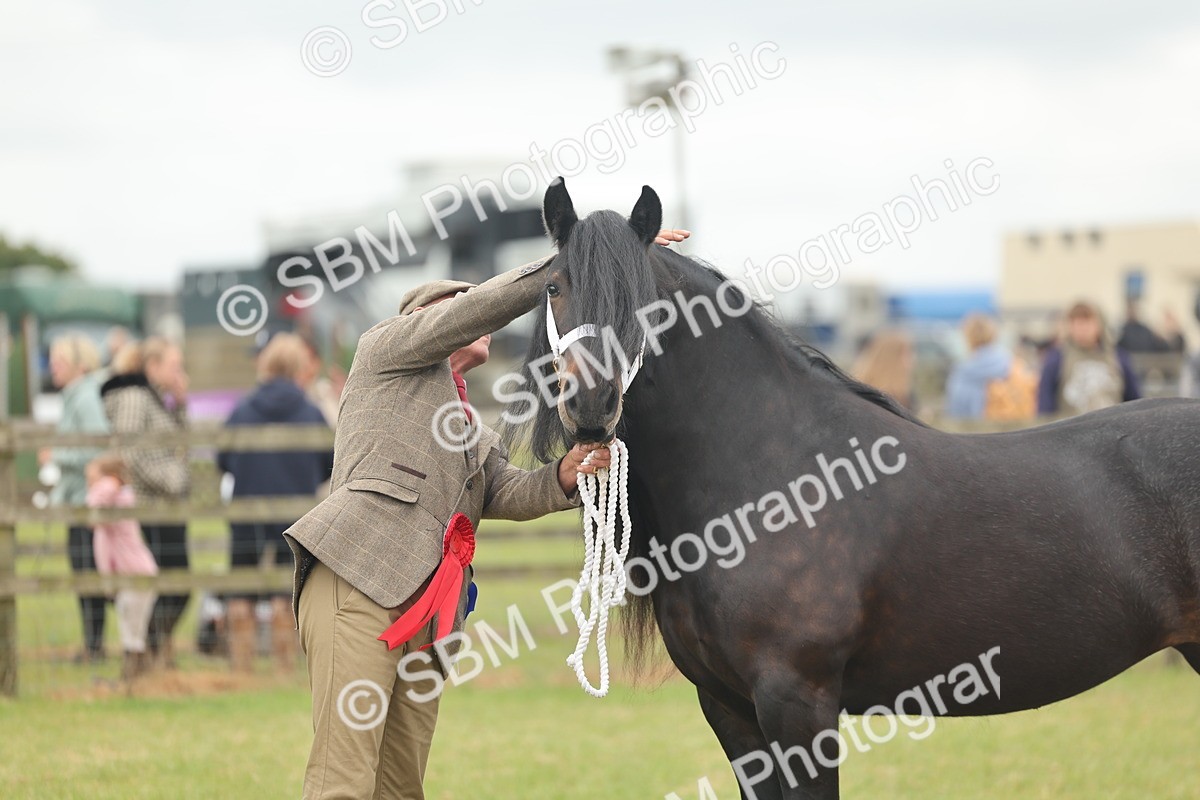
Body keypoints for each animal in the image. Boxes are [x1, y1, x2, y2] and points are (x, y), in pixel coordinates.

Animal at [502, 178, 1200, 799]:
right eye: (555, 286)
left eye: (644, 300)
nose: (591, 406)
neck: (770, 475)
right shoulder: (730, 709)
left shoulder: (799, 702)